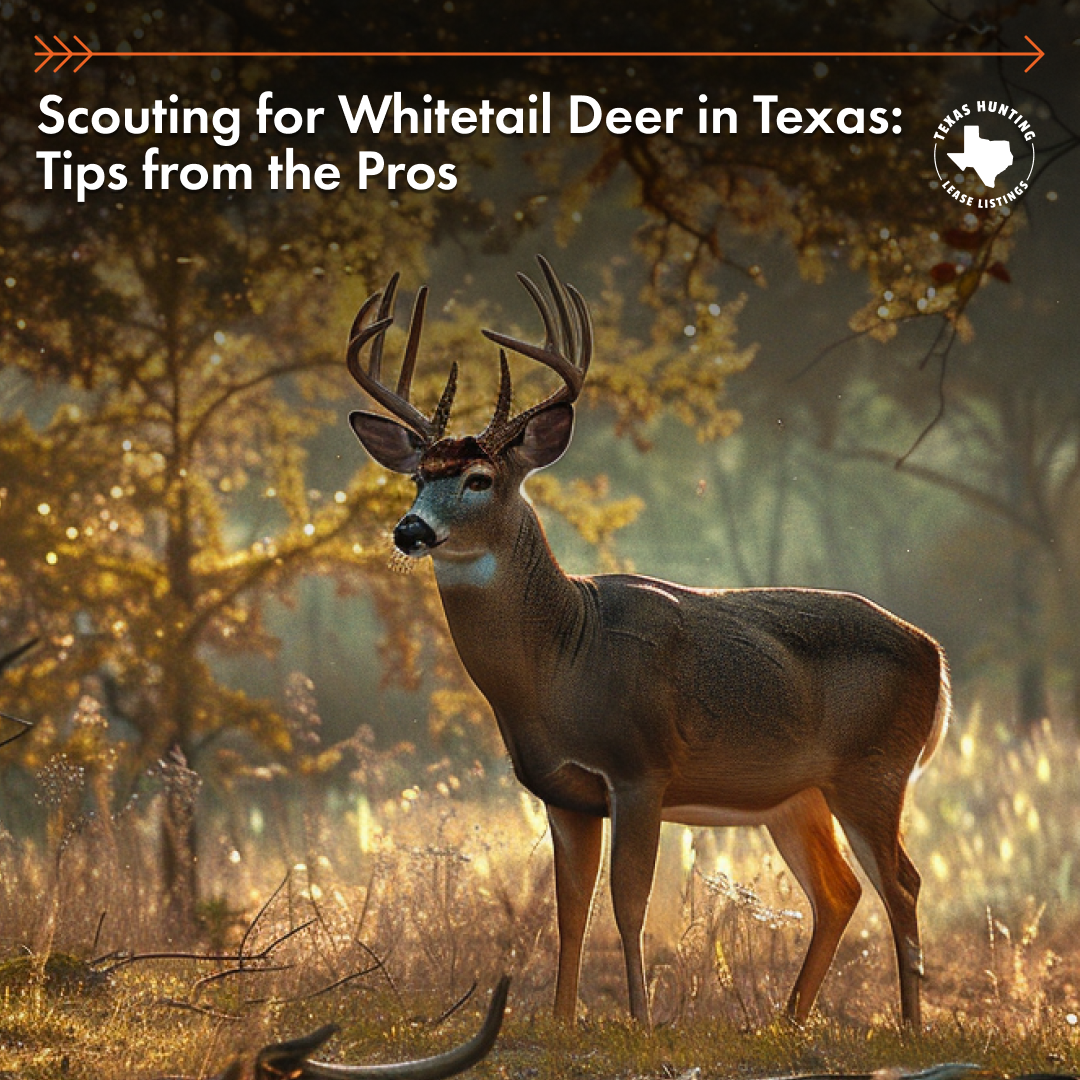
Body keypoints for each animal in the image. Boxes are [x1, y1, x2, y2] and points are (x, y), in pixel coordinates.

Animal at [345, 258, 951, 1029]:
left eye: (479, 478)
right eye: (420, 476)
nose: (410, 531)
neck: (563, 656)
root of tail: (935, 654)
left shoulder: (640, 768)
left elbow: (628, 903)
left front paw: (639, 1019)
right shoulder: (565, 793)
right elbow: (570, 910)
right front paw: (563, 1019)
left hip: (875, 769)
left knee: (902, 880)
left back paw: (909, 1024)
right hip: (797, 794)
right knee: (839, 889)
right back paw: (786, 1020)